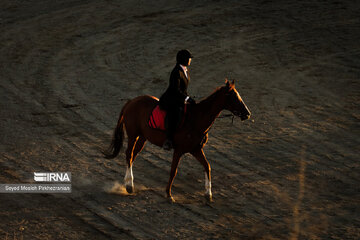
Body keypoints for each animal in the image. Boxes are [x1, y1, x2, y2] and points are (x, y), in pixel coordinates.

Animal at [104, 79, 250, 202]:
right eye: (234, 97)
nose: (247, 114)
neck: (196, 119)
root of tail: (131, 101)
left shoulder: (196, 149)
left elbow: (207, 166)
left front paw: (208, 194)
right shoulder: (179, 150)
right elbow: (173, 171)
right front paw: (169, 194)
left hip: (143, 138)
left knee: (133, 155)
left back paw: (127, 182)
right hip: (133, 135)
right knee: (129, 154)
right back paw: (129, 185)